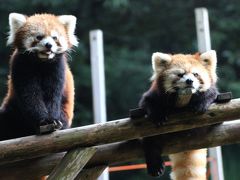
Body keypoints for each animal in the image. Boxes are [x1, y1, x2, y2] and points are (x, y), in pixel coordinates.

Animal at [0, 13, 77, 141]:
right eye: (39, 37)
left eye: (54, 37)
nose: (49, 45)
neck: (42, 63)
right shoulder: (21, 66)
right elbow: (30, 96)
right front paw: (43, 121)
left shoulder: (58, 69)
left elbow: (52, 95)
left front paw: (52, 120)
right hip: (12, 111)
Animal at [140, 50, 218, 179]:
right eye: (180, 75)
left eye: (195, 74)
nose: (189, 81)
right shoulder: (154, 95)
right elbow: (148, 102)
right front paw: (158, 115)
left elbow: (210, 94)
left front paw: (201, 104)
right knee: (151, 142)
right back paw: (155, 166)